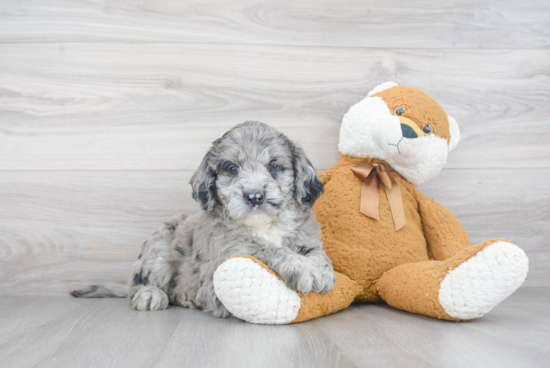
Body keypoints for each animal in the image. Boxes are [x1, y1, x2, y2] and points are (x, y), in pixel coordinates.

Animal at [73, 122, 336, 318]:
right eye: (232, 168)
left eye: (274, 166)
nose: (254, 196)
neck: (262, 226)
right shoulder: (219, 269)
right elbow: (263, 249)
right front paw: (300, 268)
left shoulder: (306, 236)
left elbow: (317, 253)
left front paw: (323, 271)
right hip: (159, 246)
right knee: (140, 283)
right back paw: (150, 295)